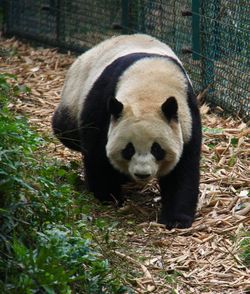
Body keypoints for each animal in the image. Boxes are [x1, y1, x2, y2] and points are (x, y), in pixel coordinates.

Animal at [51, 34, 202, 230]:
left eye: (157, 149)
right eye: (128, 149)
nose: (142, 174)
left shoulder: (187, 118)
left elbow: (183, 169)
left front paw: (176, 219)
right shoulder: (103, 103)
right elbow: (97, 151)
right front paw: (108, 195)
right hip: (74, 95)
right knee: (65, 130)